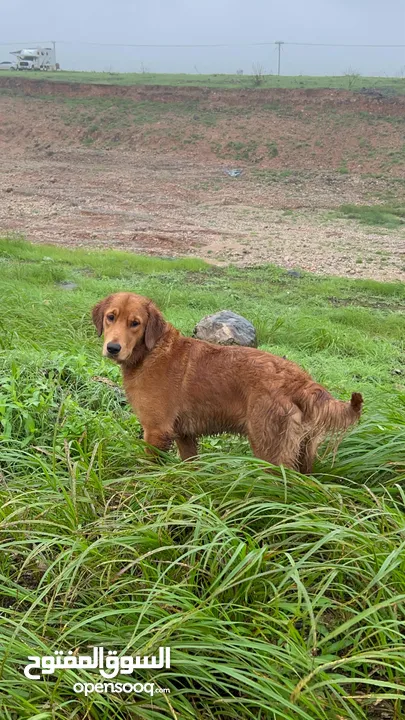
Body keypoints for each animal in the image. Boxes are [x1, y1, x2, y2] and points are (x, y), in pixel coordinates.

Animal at [92, 292, 362, 472]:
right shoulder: (185, 436)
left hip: (269, 450)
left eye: (135, 323)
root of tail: (301, 380)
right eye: (110, 317)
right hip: (302, 452)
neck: (152, 351)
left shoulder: (156, 432)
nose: (113, 348)